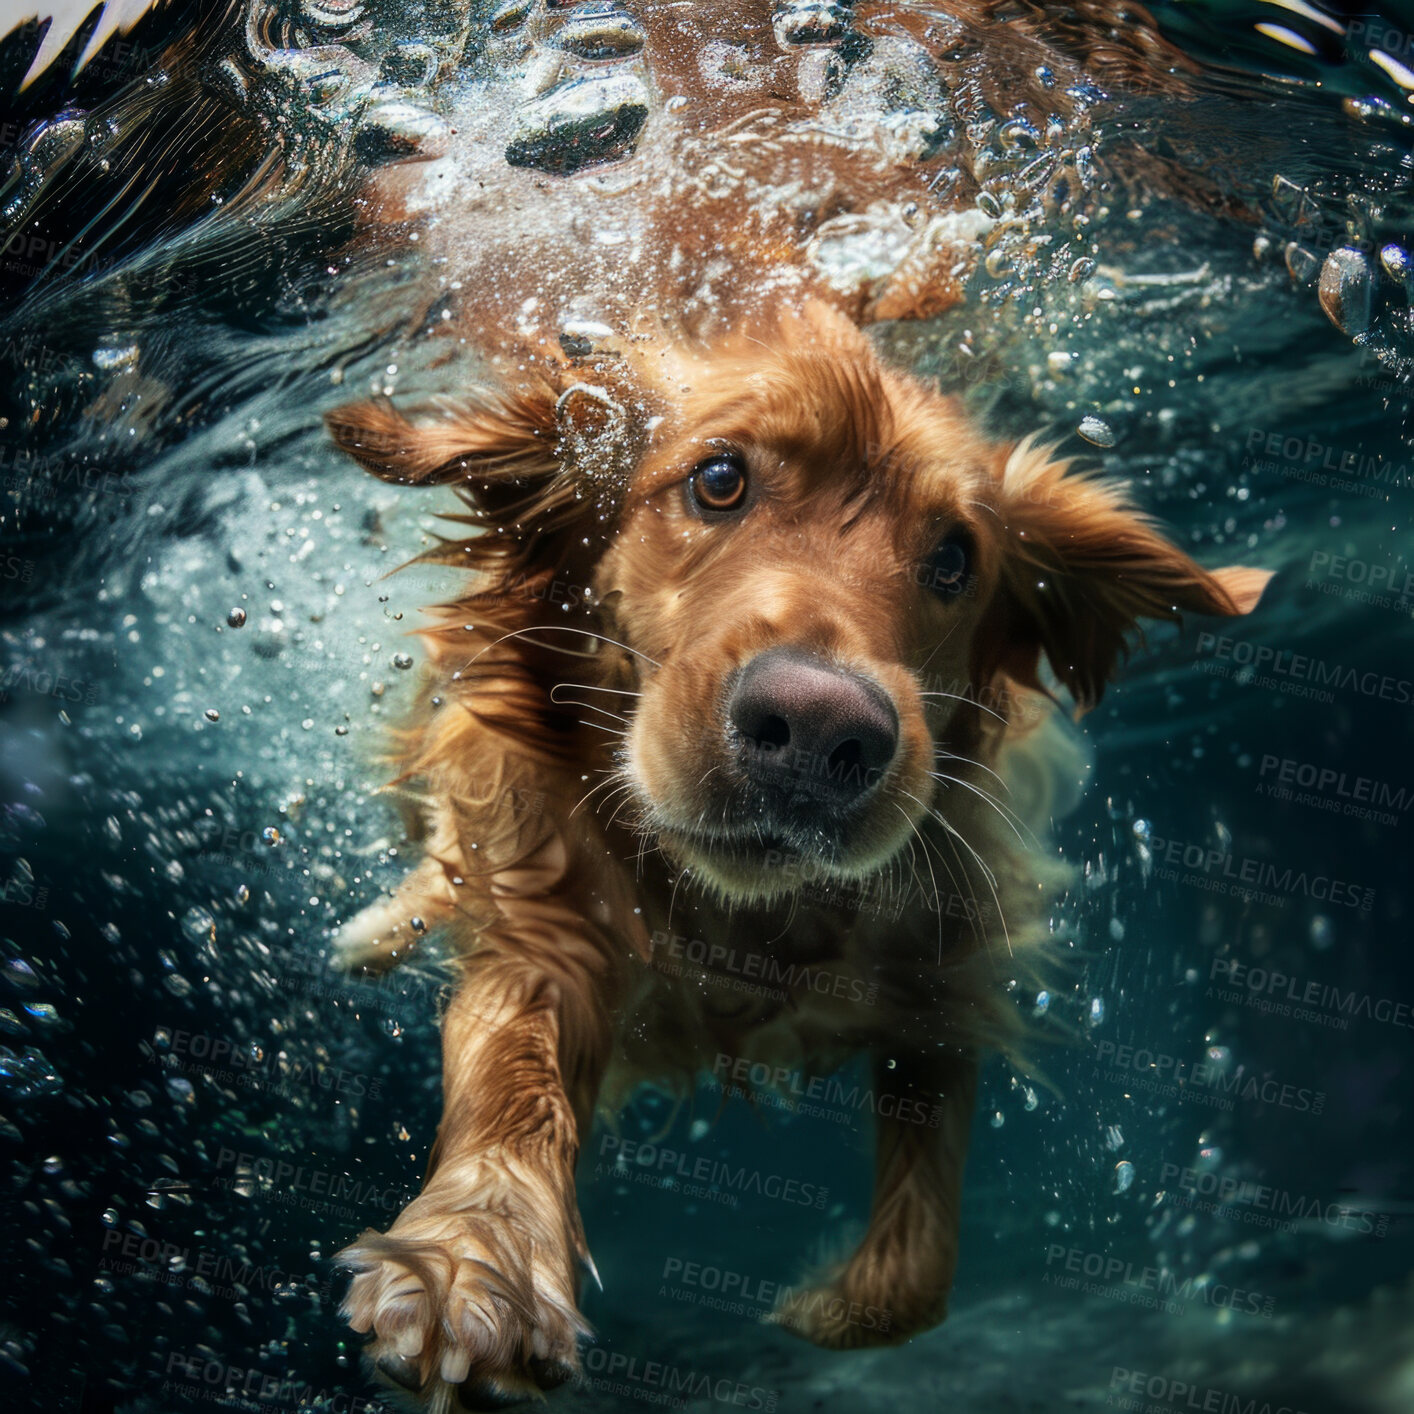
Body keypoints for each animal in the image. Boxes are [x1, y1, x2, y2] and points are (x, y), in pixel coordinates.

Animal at [323, 298, 1272, 1402]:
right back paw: (377, 927)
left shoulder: (940, 980)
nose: (821, 734)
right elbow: (516, 1078)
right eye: (717, 479)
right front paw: (478, 1254)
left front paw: (825, 1305)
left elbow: (917, 1268)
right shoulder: (552, 925)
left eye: (954, 560)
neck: (747, 919)